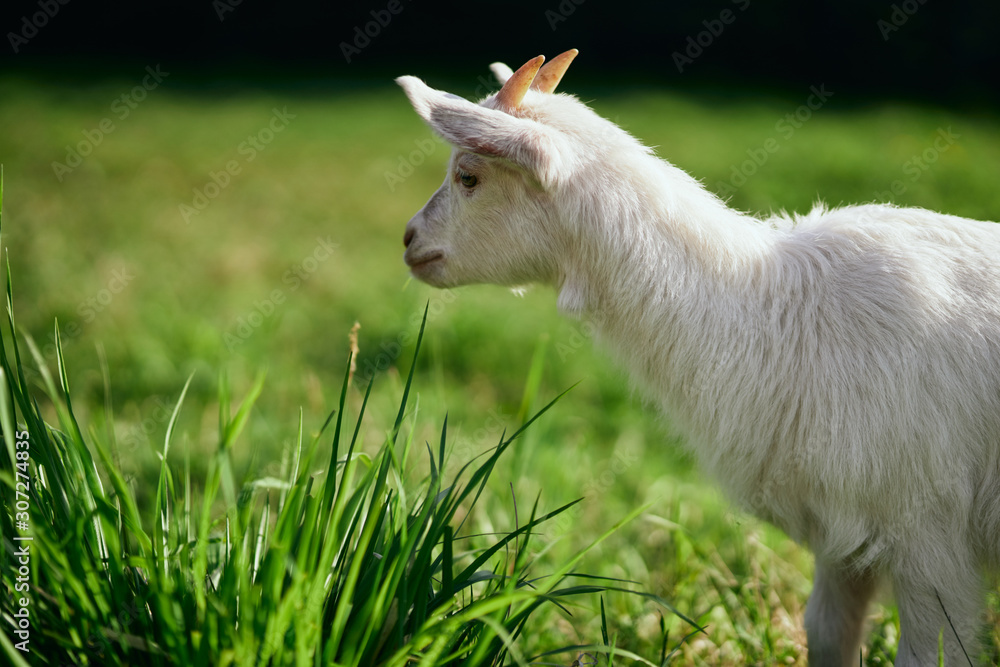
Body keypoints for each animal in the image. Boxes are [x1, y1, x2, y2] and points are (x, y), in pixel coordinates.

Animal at [396, 50, 1000, 666]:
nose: (409, 240)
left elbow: (933, 653)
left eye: (469, 176)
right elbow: (828, 631)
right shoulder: (845, 534)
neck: (775, 313)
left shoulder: (928, 537)